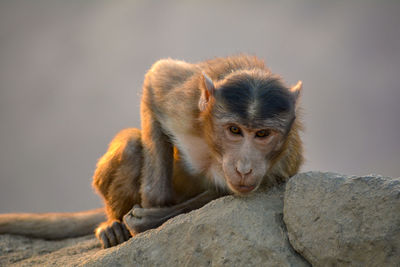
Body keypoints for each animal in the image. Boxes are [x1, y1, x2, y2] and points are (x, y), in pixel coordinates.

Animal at [0, 54, 302, 249]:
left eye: (262, 135)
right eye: (234, 130)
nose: (244, 167)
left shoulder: (280, 163)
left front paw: (151, 219)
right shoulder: (185, 102)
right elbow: (156, 80)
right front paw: (155, 204)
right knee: (133, 145)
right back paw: (113, 225)